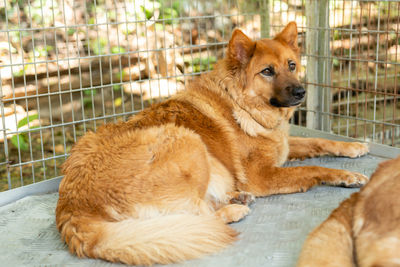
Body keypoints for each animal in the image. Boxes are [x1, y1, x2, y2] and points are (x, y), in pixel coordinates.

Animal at [55, 22, 368, 266]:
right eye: (267, 71)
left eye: (292, 65)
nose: (301, 92)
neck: (242, 105)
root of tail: (72, 206)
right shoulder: (262, 177)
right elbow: (313, 169)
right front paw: (346, 175)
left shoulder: (285, 147)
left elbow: (317, 141)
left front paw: (354, 147)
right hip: (187, 141)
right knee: (198, 217)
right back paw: (234, 208)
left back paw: (235, 199)